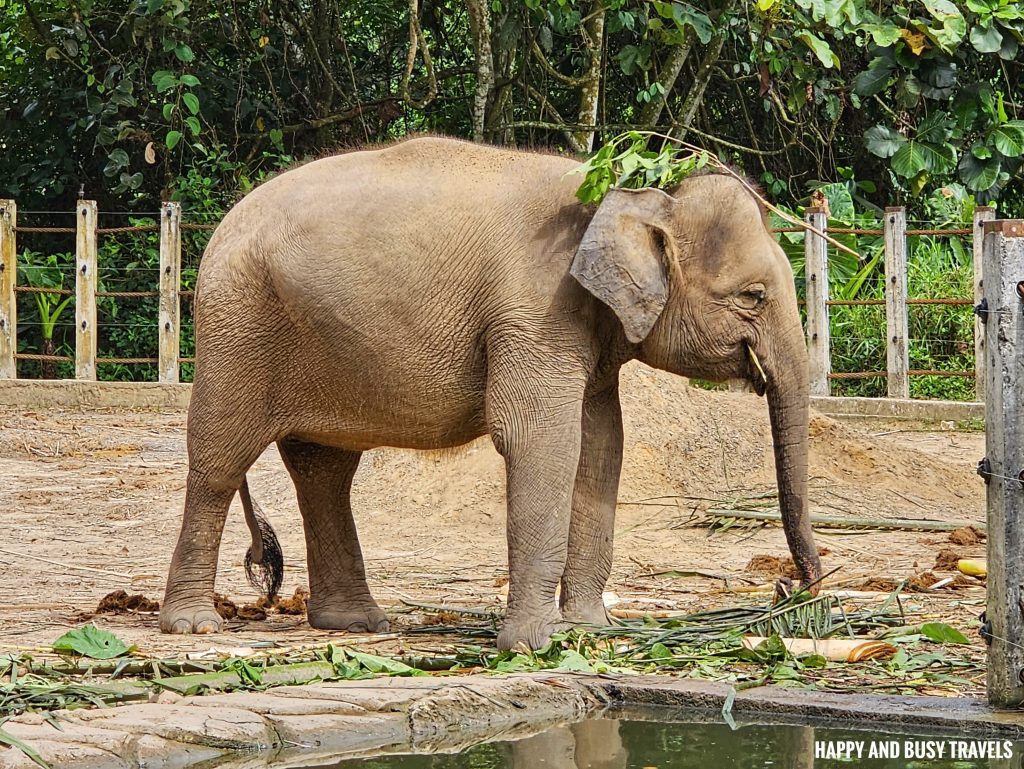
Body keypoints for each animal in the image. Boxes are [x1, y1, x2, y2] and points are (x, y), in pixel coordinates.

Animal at [155, 137, 819, 651]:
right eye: (753, 296)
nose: (794, 587)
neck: (623, 192)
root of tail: (223, 224)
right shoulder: (534, 313)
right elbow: (542, 442)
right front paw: (534, 644)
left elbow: (601, 447)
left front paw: (590, 631)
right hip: (239, 323)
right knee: (222, 457)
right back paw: (194, 627)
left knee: (325, 472)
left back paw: (358, 624)